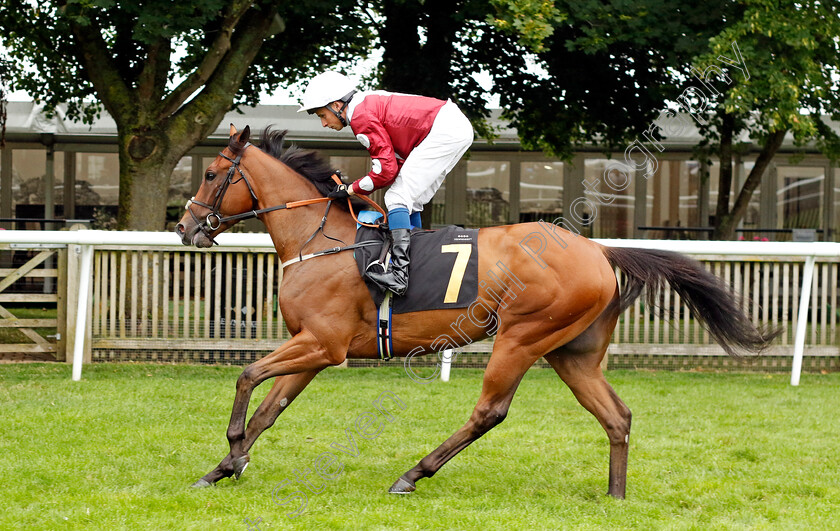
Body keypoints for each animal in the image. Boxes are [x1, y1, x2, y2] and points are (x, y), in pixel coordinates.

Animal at [174, 124, 776, 498]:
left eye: (210, 175)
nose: (185, 227)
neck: (320, 240)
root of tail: (600, 250)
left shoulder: (323, 344)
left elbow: (247, 376)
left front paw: (231, 450)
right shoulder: (315, 349)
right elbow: (270, 407)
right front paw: (223, 467)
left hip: (522, 337)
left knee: (490, 411)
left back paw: (411, 474)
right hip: (572, 353)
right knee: (617, 417)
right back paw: (615, 496)